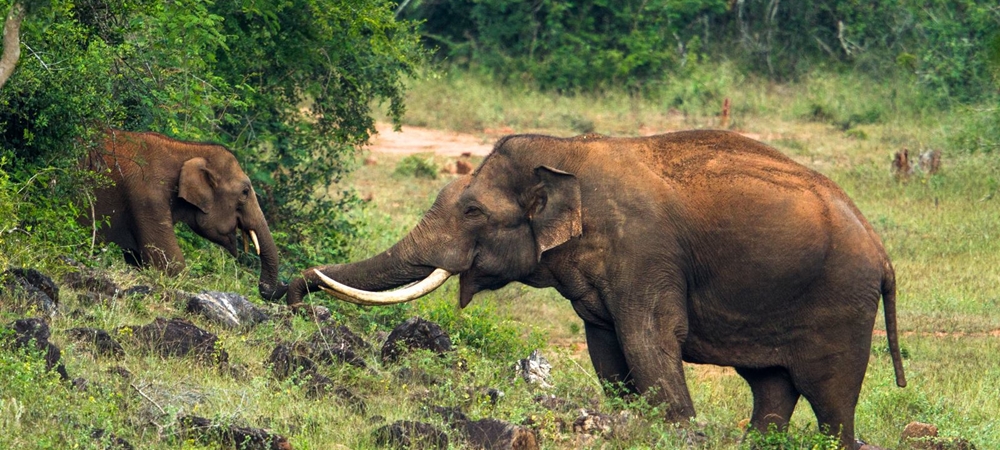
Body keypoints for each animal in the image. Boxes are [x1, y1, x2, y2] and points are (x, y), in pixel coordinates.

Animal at [284, 129, 908, 446]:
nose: (289, 290)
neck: (566, 151)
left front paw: (676, 430)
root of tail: (884, 255)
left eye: (472, 211)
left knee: (831, 401)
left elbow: (649, 338)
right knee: (771, 389)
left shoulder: (643, 251)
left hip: (841, 303)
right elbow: (607, 349)